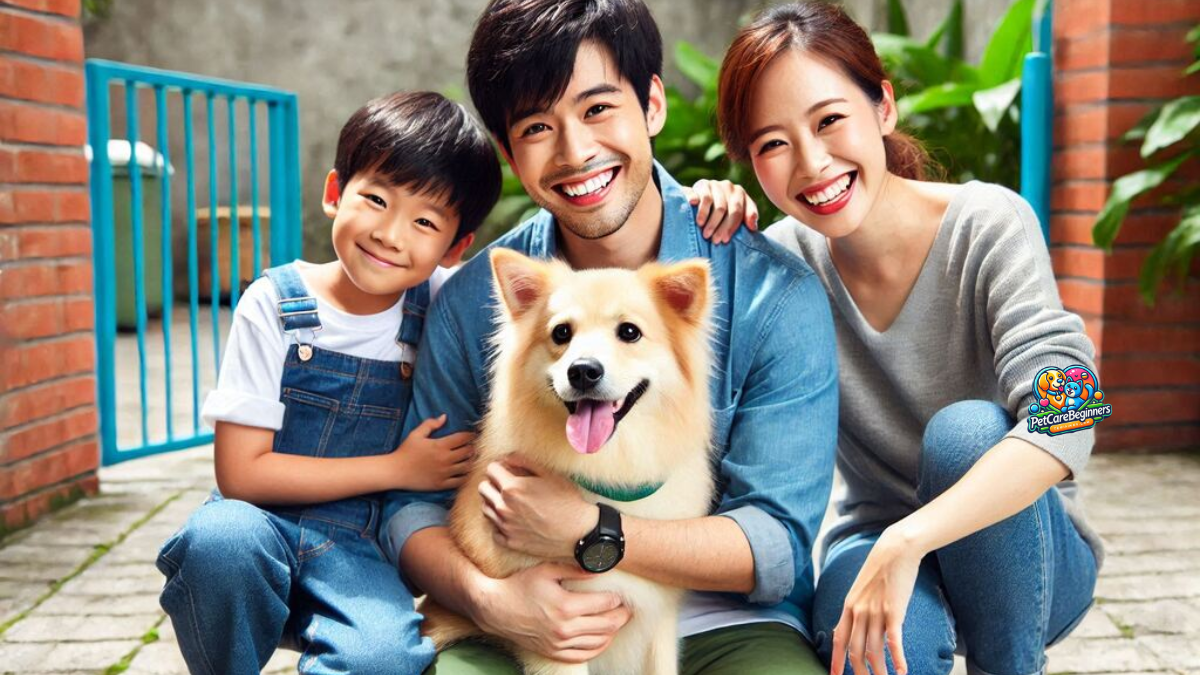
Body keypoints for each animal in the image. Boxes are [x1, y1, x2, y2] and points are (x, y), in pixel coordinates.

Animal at [422, 248, 715, 672]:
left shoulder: (658, 621)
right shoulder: (557, 637)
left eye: (629, 332)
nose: (583, 371)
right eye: (561, 333)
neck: (609, 472)